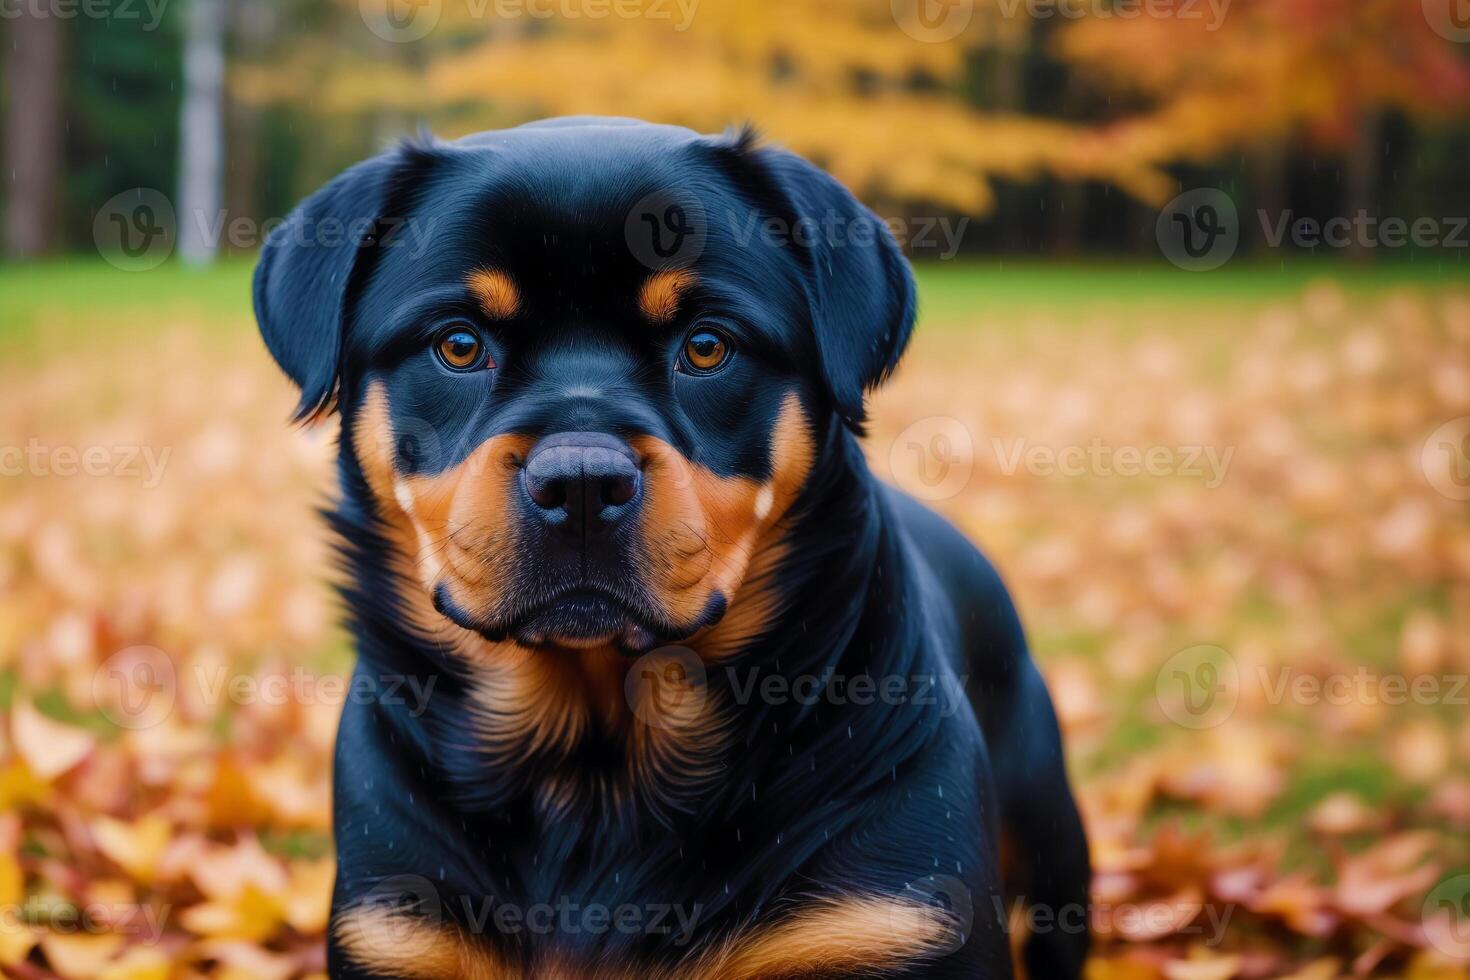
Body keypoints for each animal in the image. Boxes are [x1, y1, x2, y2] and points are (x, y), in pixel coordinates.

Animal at [252, 116, 1087, 980]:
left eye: (708, 346)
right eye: (457, 345)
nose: (582, 483)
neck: (596, 768)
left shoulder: (890, 919)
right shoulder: (398, 932)